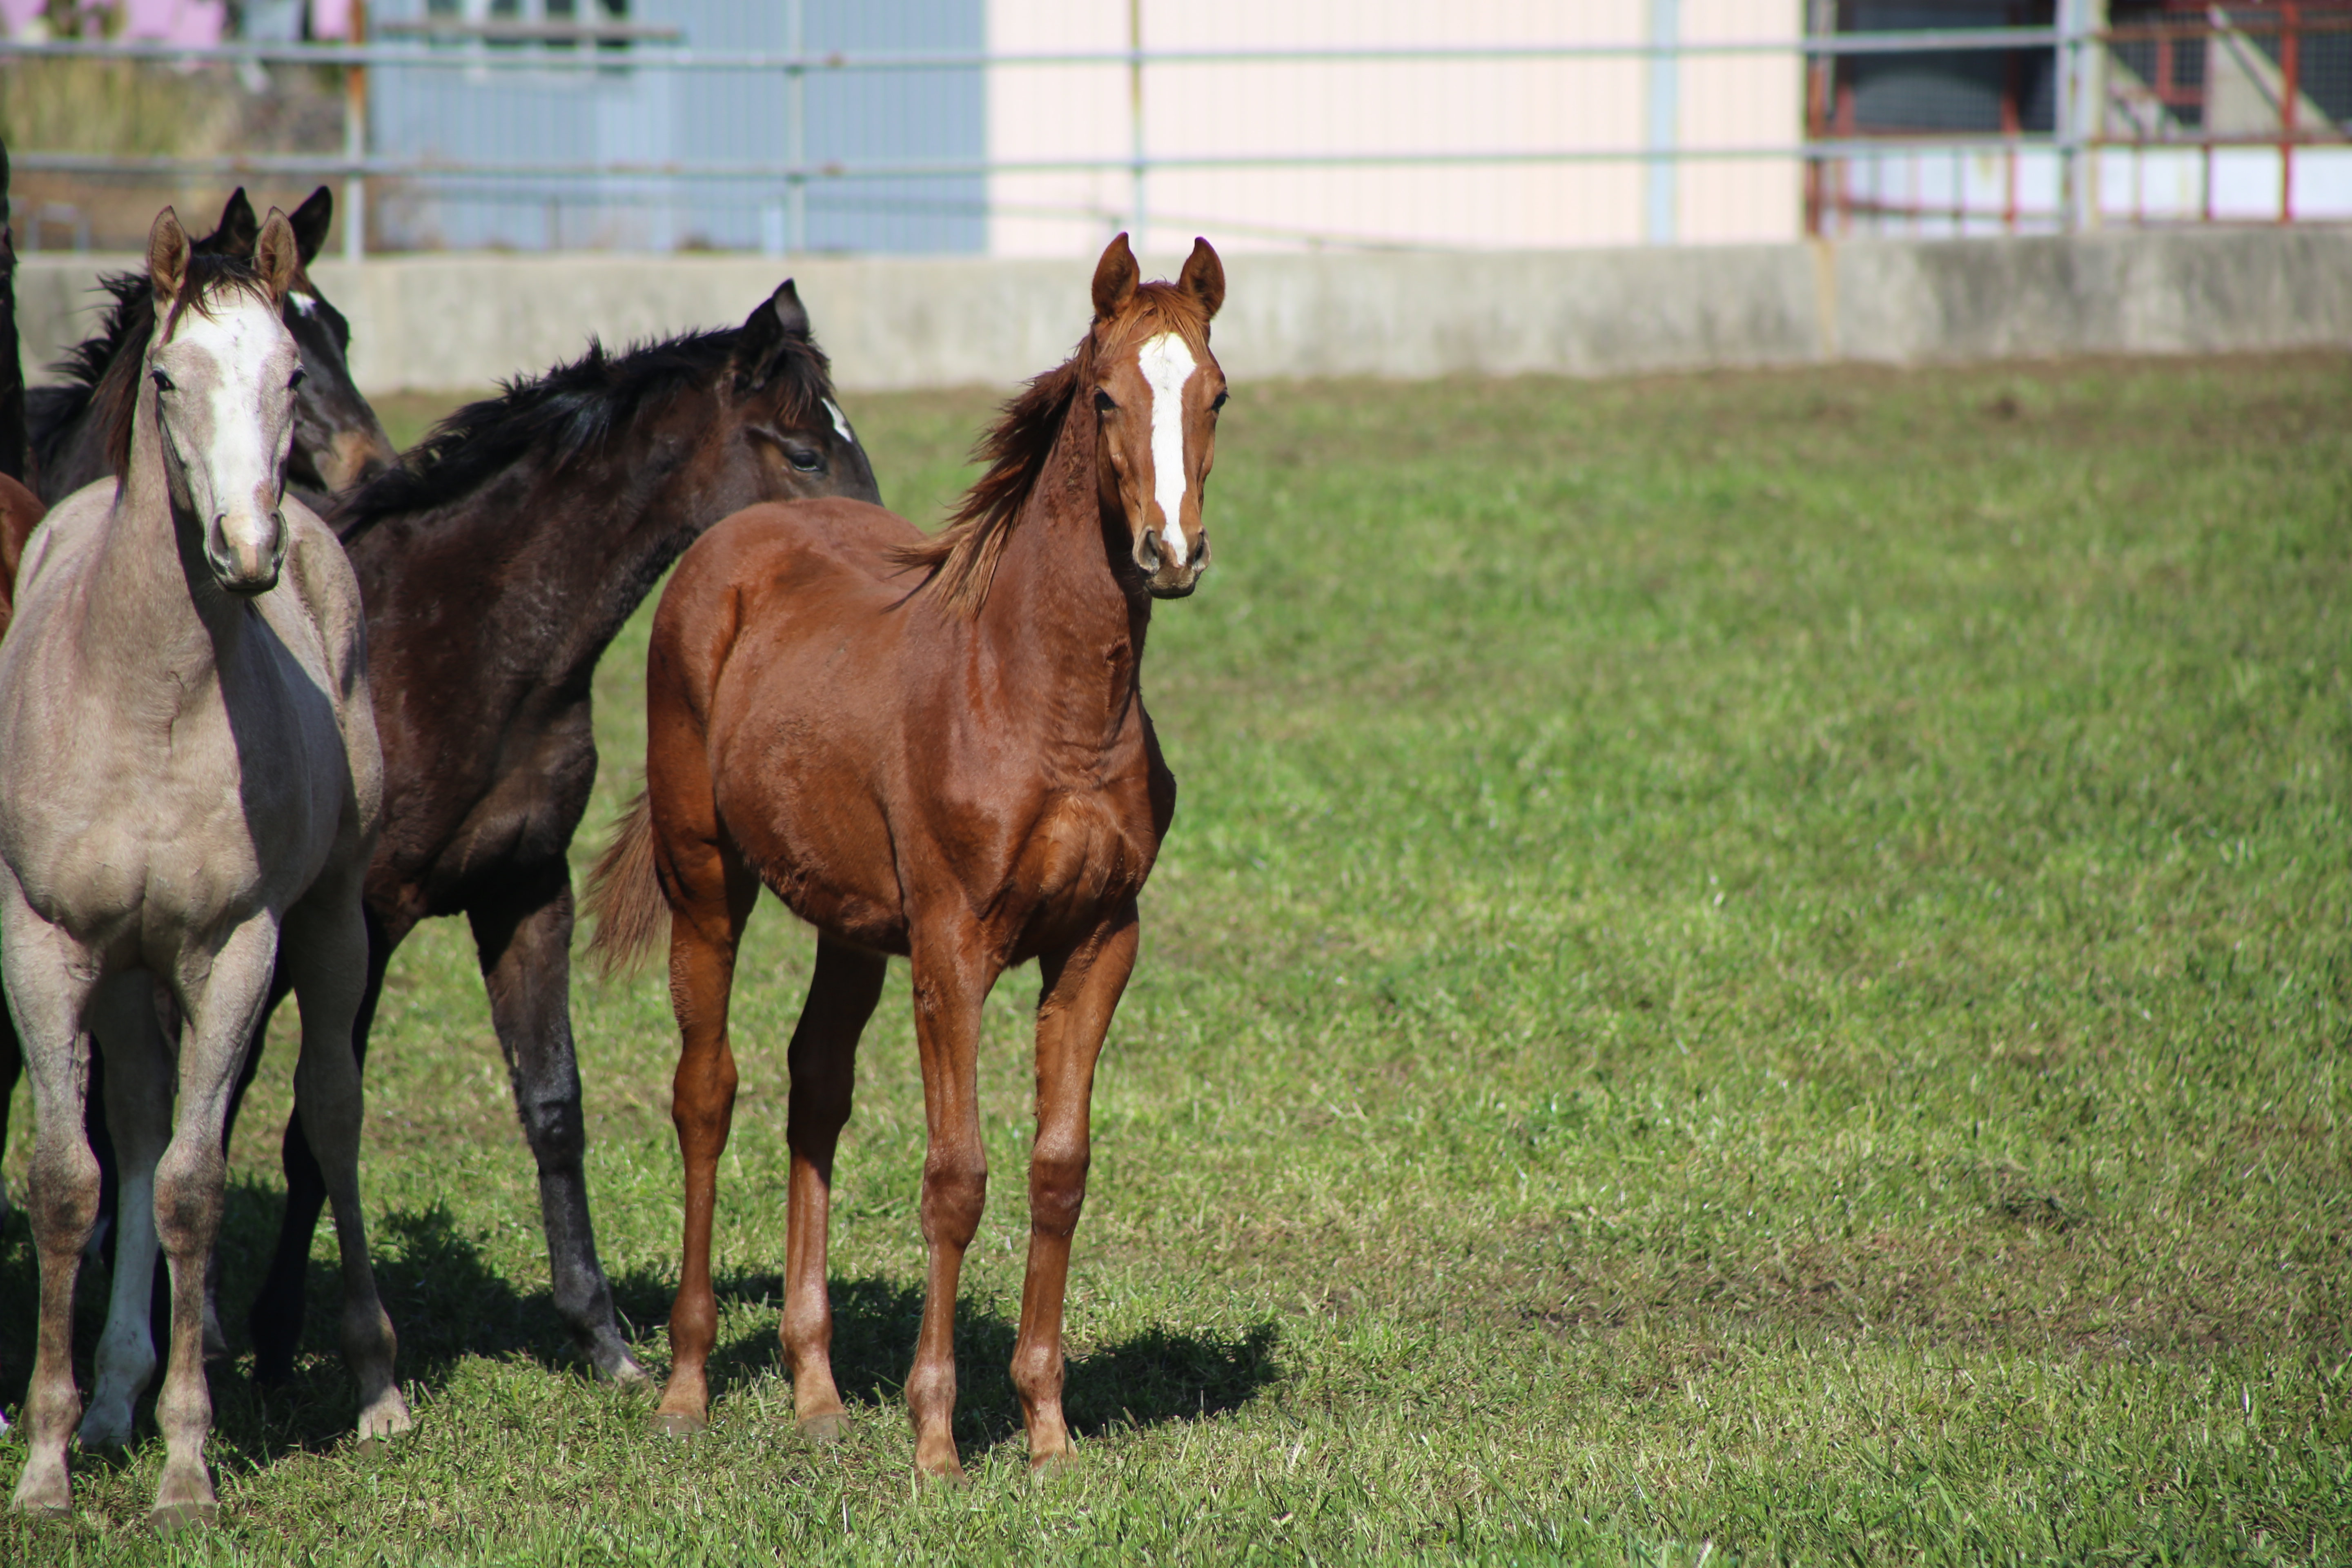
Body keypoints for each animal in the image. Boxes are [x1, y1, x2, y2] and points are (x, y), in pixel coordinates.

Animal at [586, 230, 1223, 1476]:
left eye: (1216, 394)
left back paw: (817, 1391)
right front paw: (936, 1438)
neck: (1040, 695)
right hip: (705, 882)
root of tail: (730, 541)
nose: (1170, 551)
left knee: (813, 1089)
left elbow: (1058, 1169)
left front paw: (1046, 1430)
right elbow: (956, 1175)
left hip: (847, 922)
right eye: (1107, 396)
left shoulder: (1100, 943)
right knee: (706, 1092)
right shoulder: (952, 948)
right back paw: (686, 1384)